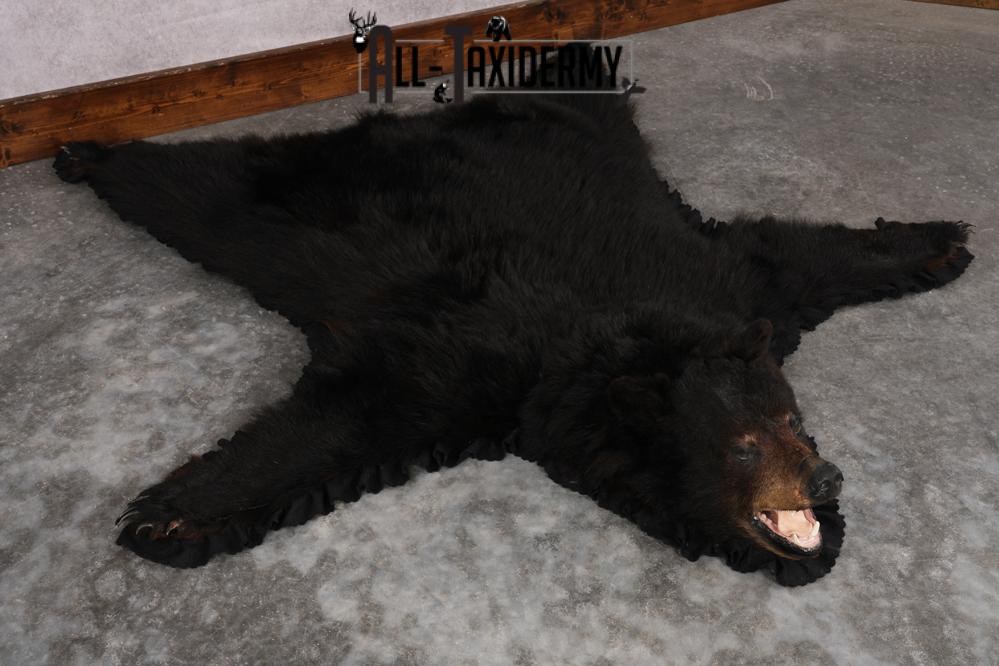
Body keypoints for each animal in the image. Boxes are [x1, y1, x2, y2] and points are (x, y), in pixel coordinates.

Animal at [53, 89, 973, 586]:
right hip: (293, 207)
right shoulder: (477, 360)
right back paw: (85, 151)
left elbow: (797, 254)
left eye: (790, 418)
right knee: (204, 189)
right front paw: (174, 514)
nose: (823, 475)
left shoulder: (730, 287)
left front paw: (936, 240)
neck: (620, 344)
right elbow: (357, 413)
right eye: (743, 443)